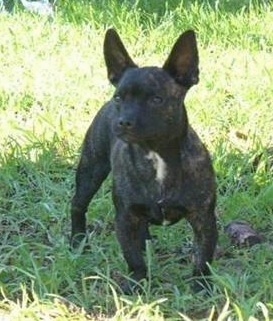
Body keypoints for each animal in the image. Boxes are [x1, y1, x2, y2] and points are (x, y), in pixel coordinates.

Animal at [70, 28, 217, 292]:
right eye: (119, 98)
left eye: (157, 100)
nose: (124, 121)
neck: (156, 154)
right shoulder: (125, 219)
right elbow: (133, 257)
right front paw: (137, 283)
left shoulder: (204, 219)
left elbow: (203, 257)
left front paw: (201, 286)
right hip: (91, 170)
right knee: (78, 204)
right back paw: (78, 240)